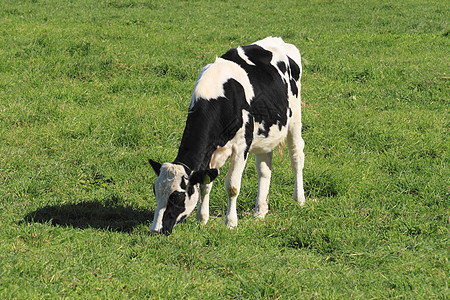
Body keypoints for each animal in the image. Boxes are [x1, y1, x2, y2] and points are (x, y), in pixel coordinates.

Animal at [149, 37, 304, 234]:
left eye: (176, 197)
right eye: (155, 191)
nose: (156, 229)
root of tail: (278, 40)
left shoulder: (241, 146)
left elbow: (232, 186)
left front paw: (230, 222)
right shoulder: (211, 152)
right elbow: (206, 183)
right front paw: (202, 218)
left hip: (294, 118)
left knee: (296, 156)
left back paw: (299, 199)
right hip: (266, 132)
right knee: (264, 169)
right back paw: (260, 211)